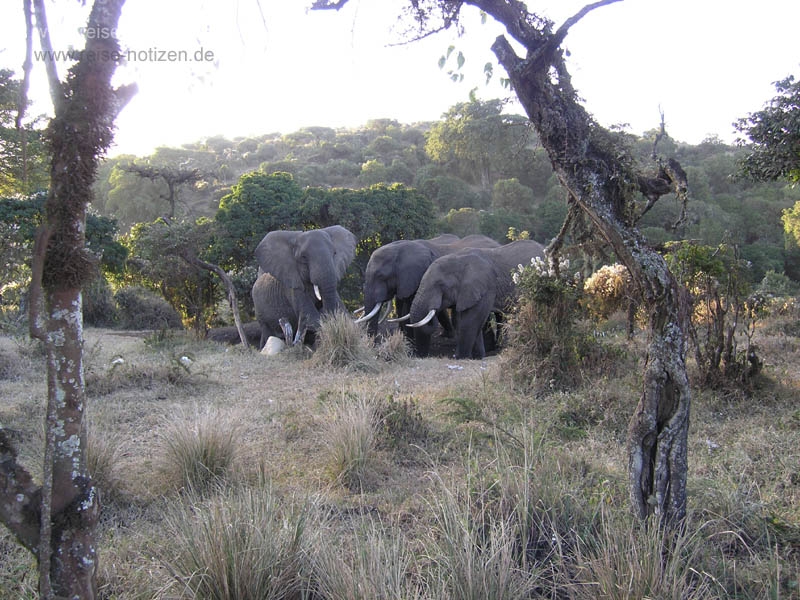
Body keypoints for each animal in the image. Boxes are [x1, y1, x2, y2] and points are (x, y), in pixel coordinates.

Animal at [356, 234, 500, 356]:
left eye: (381, 276)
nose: (373, 348)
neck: (401, 248)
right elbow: (403, 310)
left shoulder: (419, 277)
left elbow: (409, 312)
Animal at [404, 239, 546, 359]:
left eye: (440, 285)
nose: (420, 356)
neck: (459, 260)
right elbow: (461, 320)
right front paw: (476, 356)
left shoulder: (486, 288)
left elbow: (470, 319)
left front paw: (461, 357)